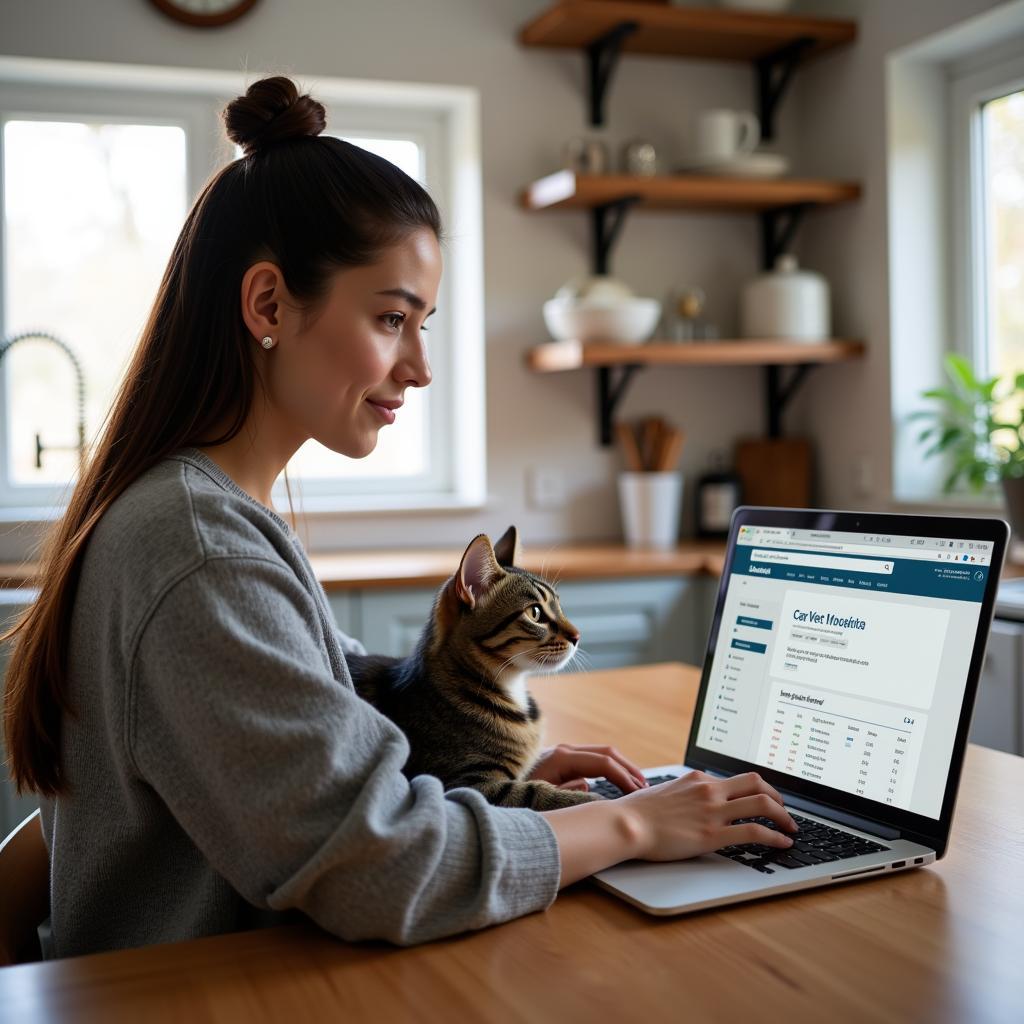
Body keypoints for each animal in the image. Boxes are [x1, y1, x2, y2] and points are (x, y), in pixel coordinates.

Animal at [346, 528, 598, 806]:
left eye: (559, 607)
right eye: (535, 613)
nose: (578, 636)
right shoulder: (464, 785)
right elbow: (534, 792)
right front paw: (587, 798)